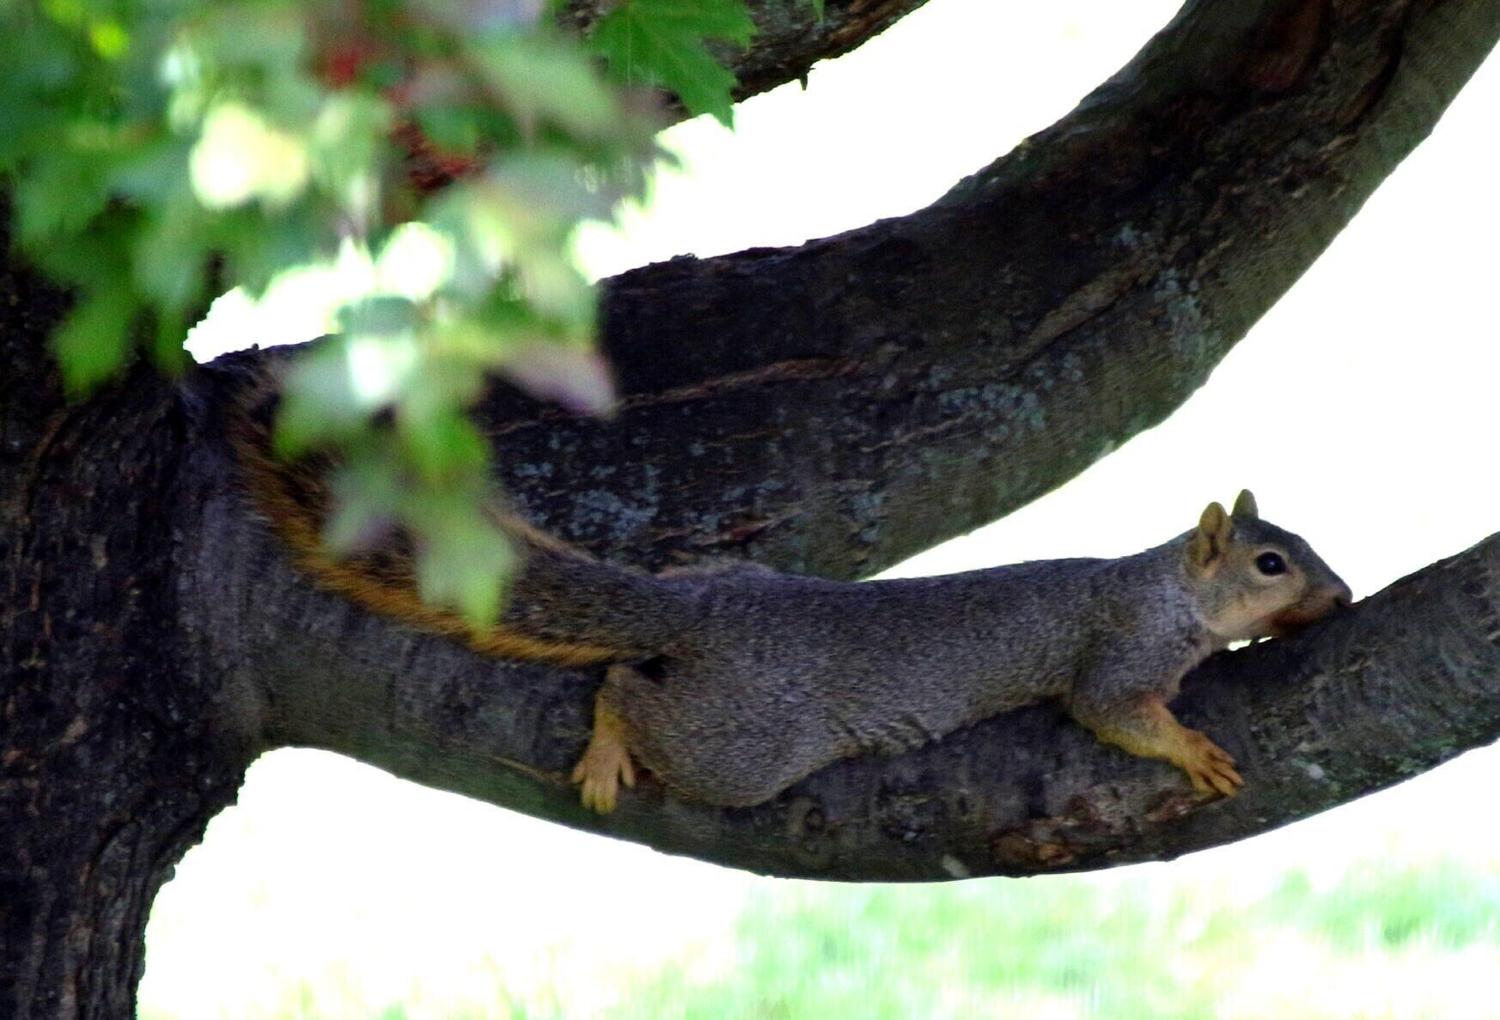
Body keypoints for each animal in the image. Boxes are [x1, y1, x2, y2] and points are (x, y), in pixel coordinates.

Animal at [235, 390, 1353, 813]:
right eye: (1269, 563)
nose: (1341, 594)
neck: (1165, 586)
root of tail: (700, 616)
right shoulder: (1120, 652)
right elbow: (1112, 710)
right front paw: (1192, 748)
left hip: (721, 590)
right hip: (747, 746)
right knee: (624, 690)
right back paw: (608, 746)